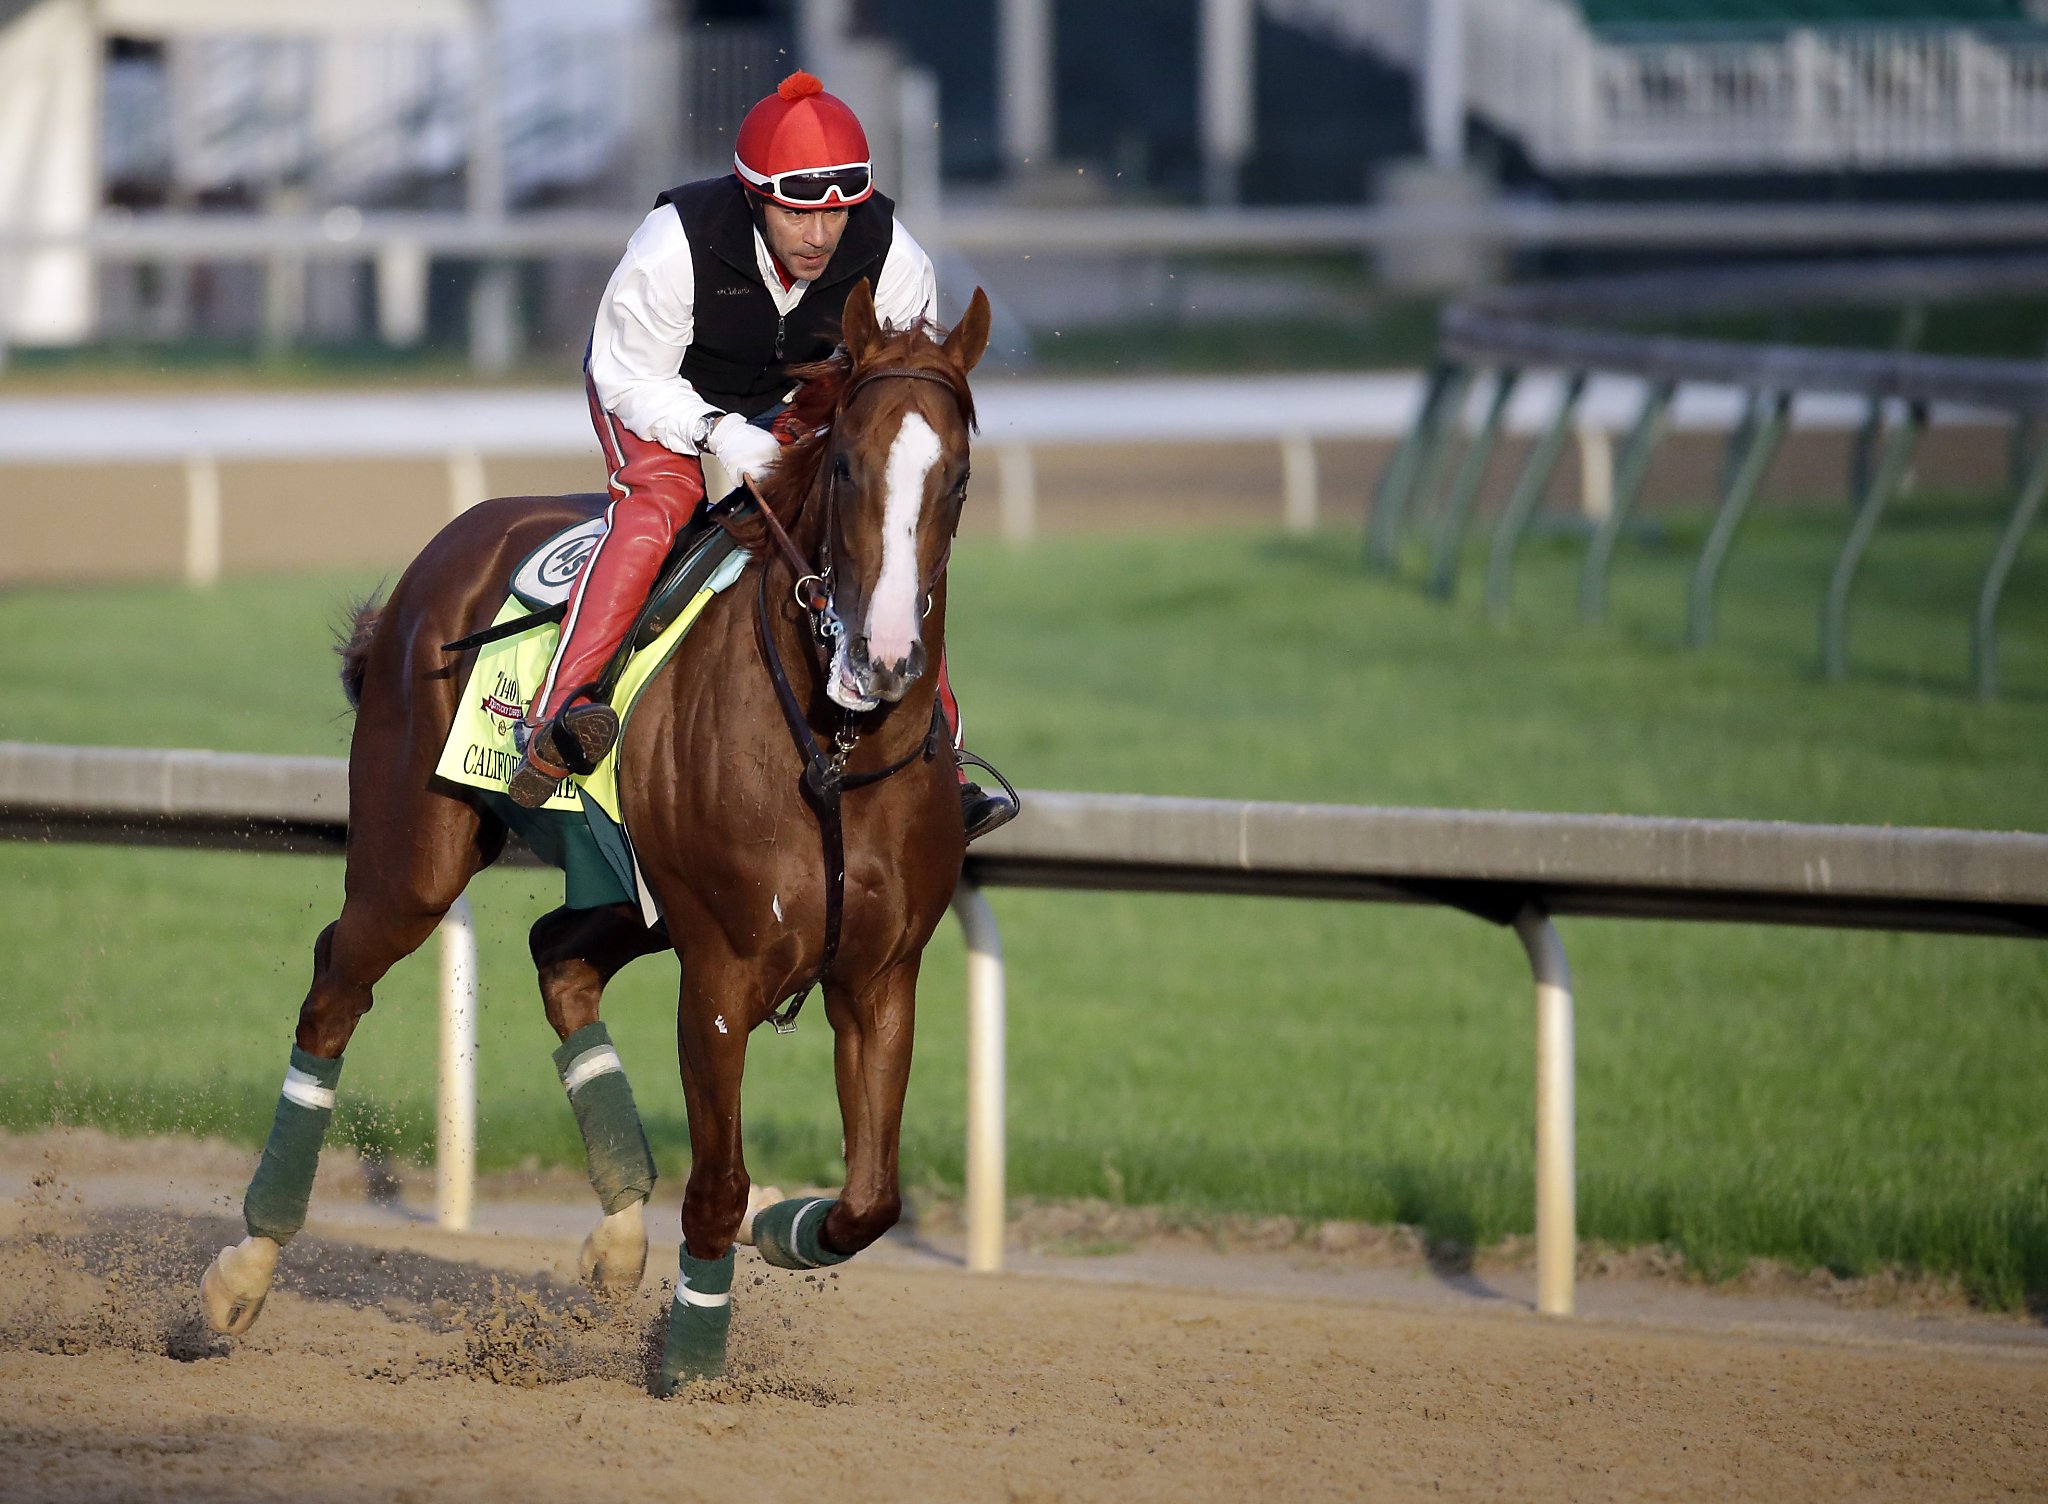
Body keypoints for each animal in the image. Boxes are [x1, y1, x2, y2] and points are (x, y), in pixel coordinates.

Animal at [199, 280, 991, 1393]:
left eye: (955, 478)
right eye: (845, 464)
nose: (881, 659)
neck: (835, 748)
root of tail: (450, 543)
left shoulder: (880, 973)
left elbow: (870, 1200)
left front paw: (784, 1230)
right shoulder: (721, 974)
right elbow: (719, 1182)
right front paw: (690, 1359)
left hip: (631, 892)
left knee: (557, 956)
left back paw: (617, 1235)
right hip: (416, 857)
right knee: (335, 988)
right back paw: (242, 1268)